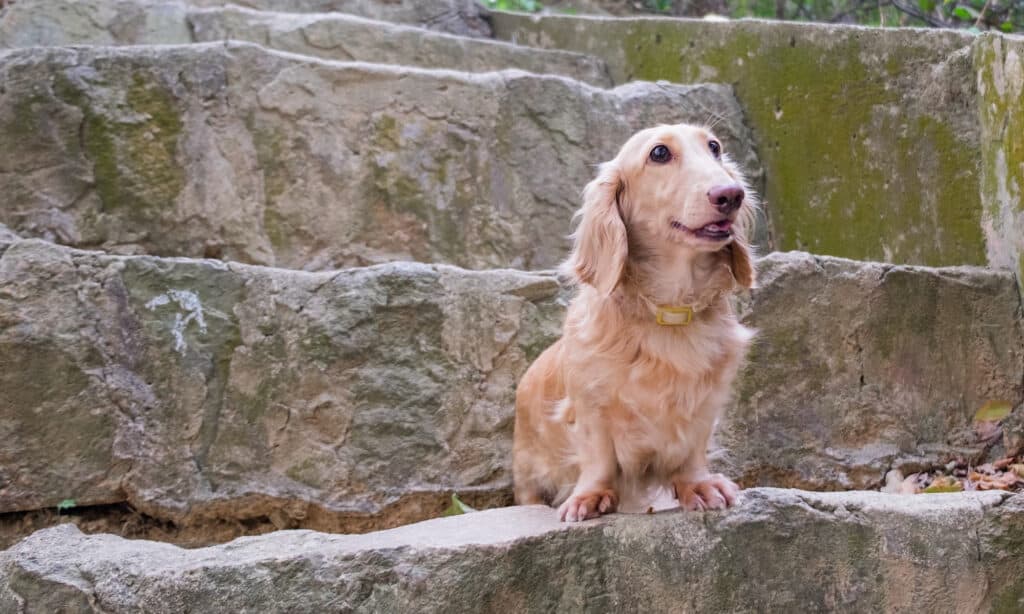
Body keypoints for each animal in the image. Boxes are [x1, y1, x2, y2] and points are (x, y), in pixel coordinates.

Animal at [516, 123, 757, 521]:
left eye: (714, 147)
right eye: (659, 153)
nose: (730, 195)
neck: (668, 309)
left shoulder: (706, 401)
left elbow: (693, 449)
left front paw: (698, 485)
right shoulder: (589, 402)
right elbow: (597, 454)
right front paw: (591, 496)